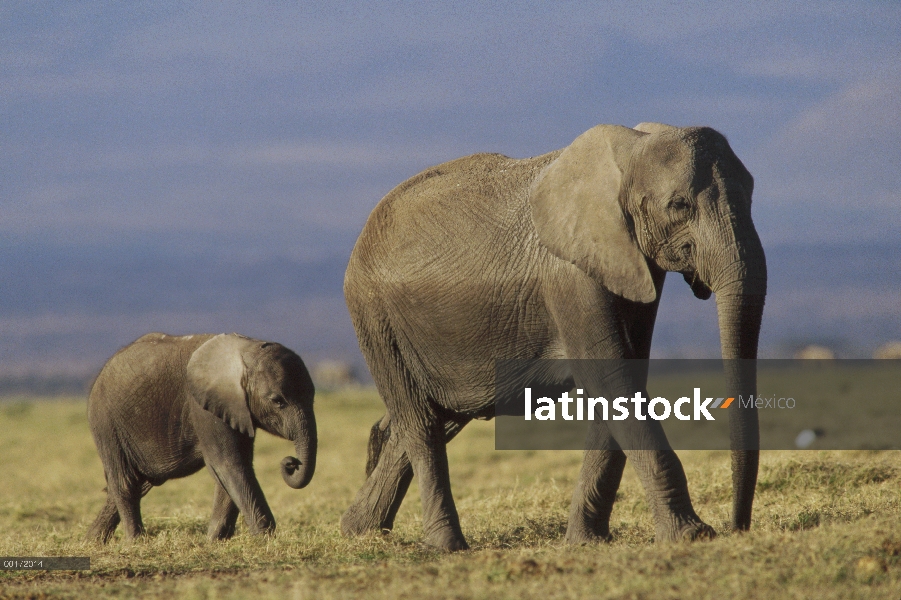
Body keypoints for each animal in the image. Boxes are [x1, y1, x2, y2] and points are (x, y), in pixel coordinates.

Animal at [85, 332, 316, 544]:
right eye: (277, 401)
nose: (291, 463)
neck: (244, 350)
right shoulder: (203, 407)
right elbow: (228, 464)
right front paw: (265, 538)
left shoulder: (234, 408)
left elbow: (234, 467)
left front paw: (214, 541)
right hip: (107, 423)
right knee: (126, 481)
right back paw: (135, 542)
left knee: (140, 483)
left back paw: (93, 541)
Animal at [342, 124, 764, 552]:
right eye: (678, 205)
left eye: (751, 194)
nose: (738, 526)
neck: (627, 151)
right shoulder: (571, 276)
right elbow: (612, 380)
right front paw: (691, 536)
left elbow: (620, 383)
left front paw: (585, 543)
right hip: (376, 317)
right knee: (421, 424)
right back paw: (444, 546)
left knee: (437, 417)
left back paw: (358, 530)